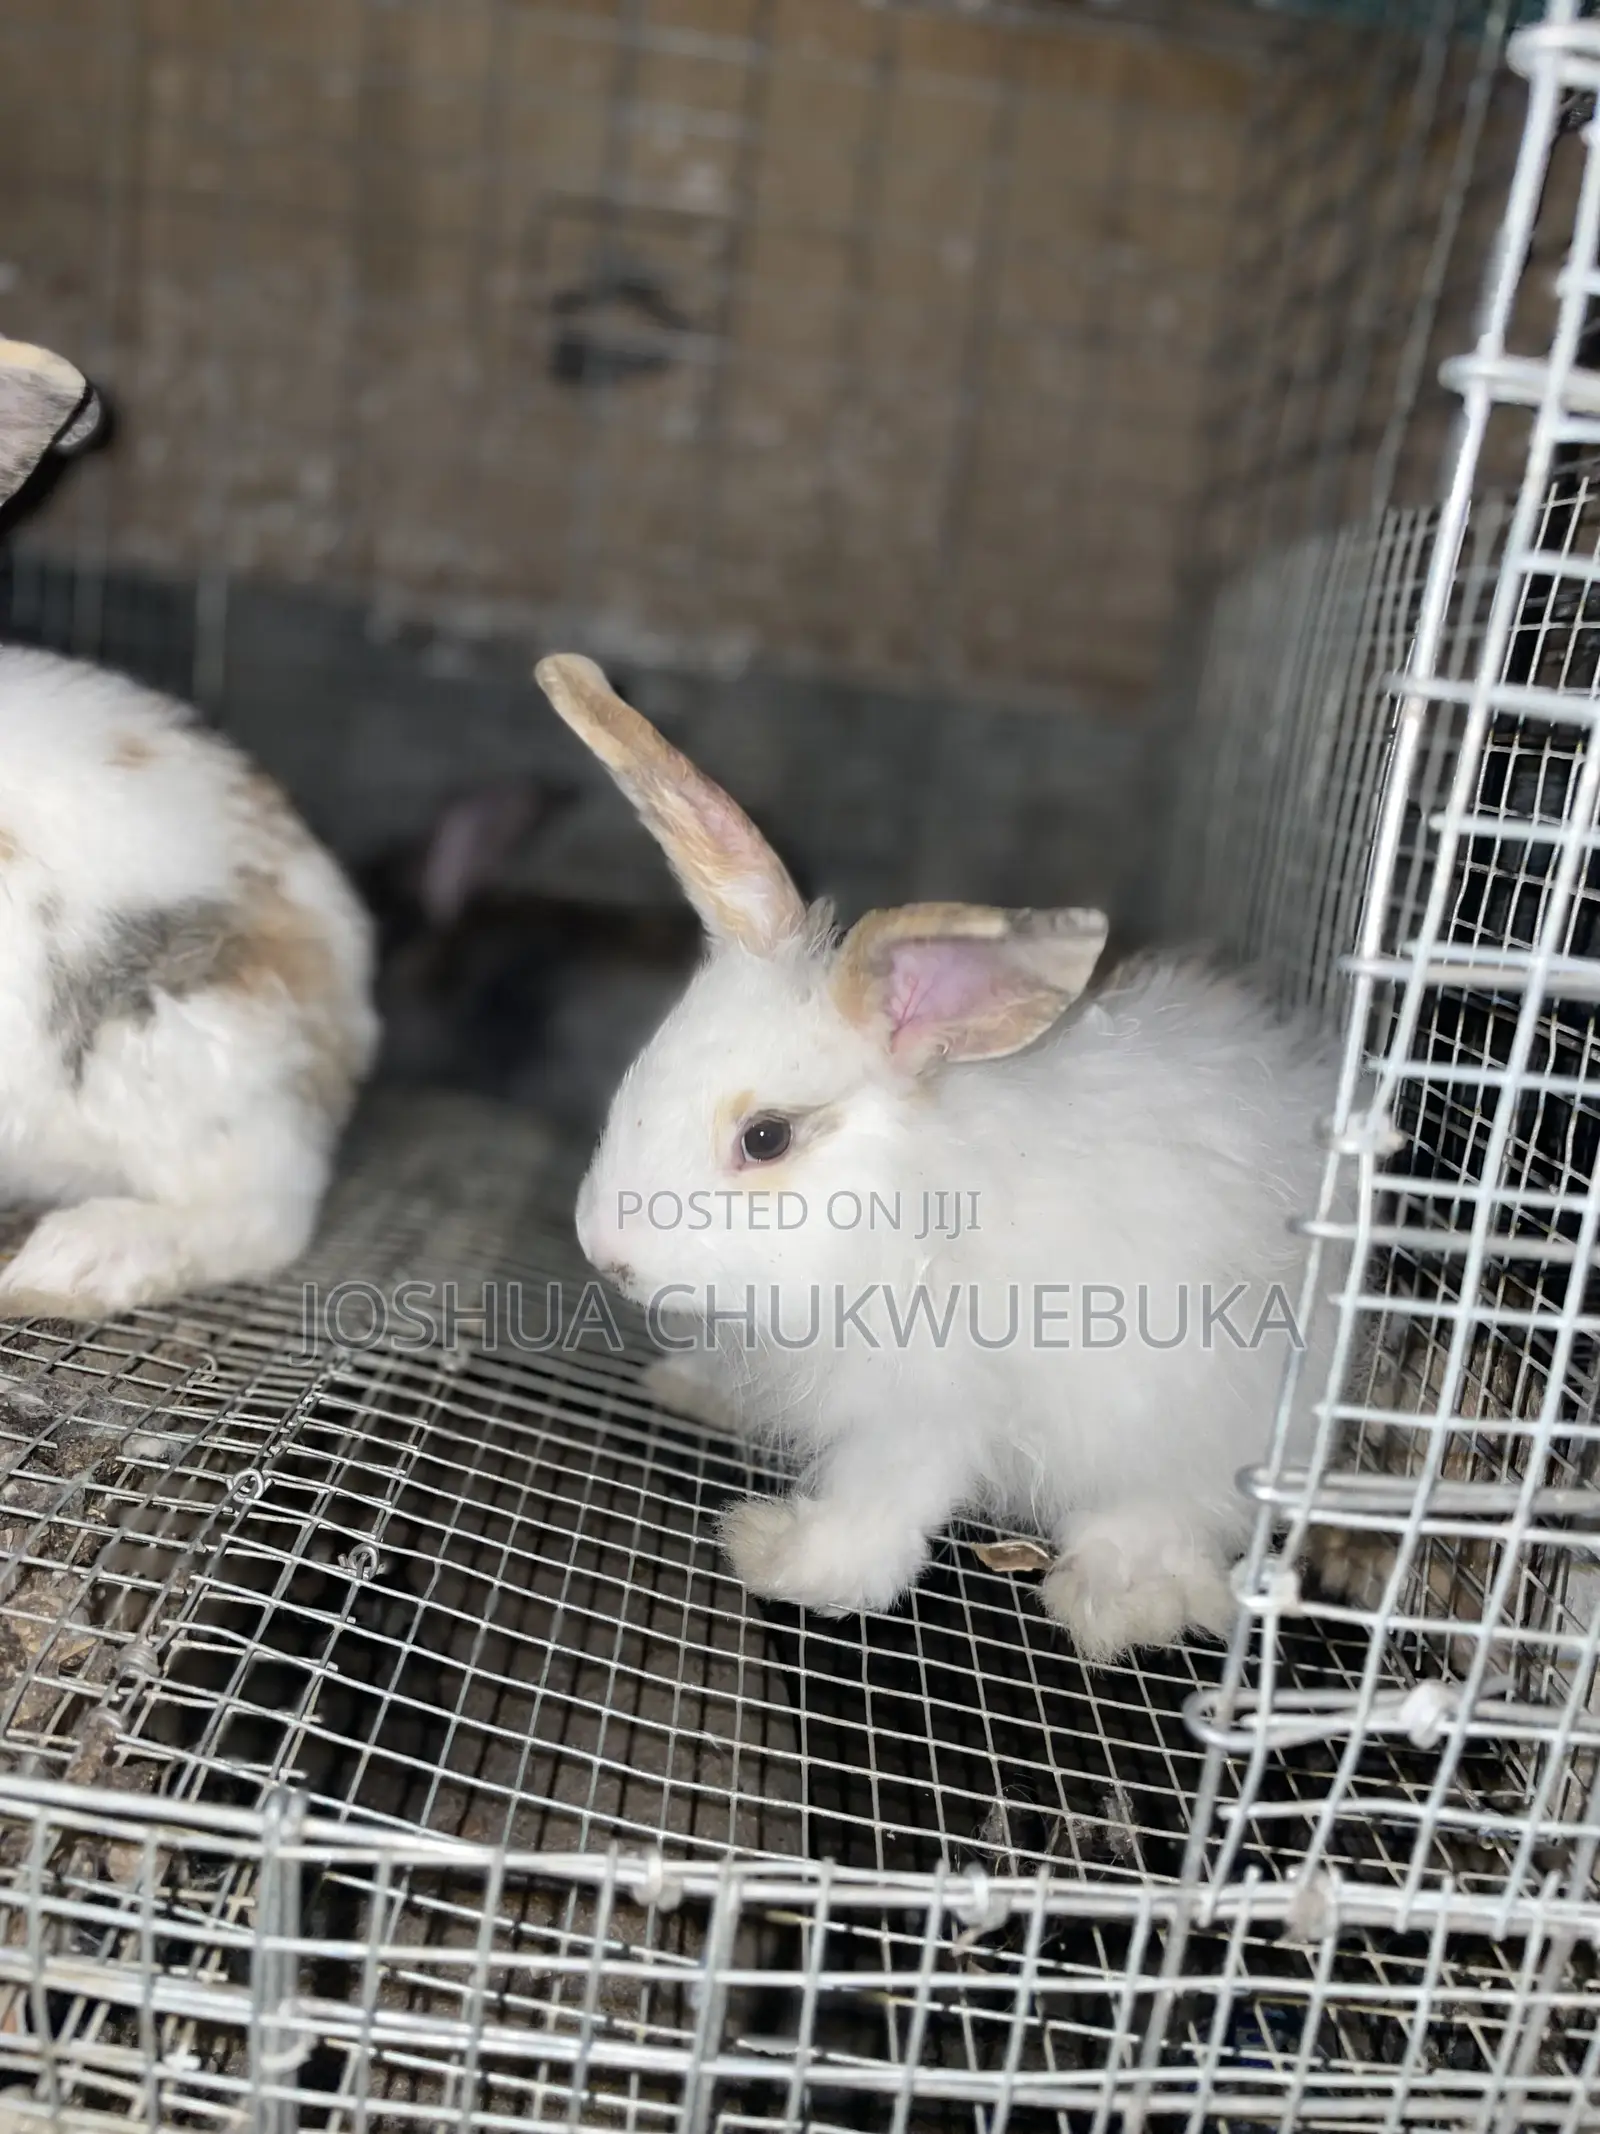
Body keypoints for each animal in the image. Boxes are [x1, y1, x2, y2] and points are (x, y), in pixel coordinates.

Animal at [533, 652, 1347, 1663]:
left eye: (766, 1139)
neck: (909, 1203)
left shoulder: (927, 1412)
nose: (605, 1255)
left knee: (1165, 1514)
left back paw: (1116, 1601)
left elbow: (877, 1514)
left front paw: (776, 1554)